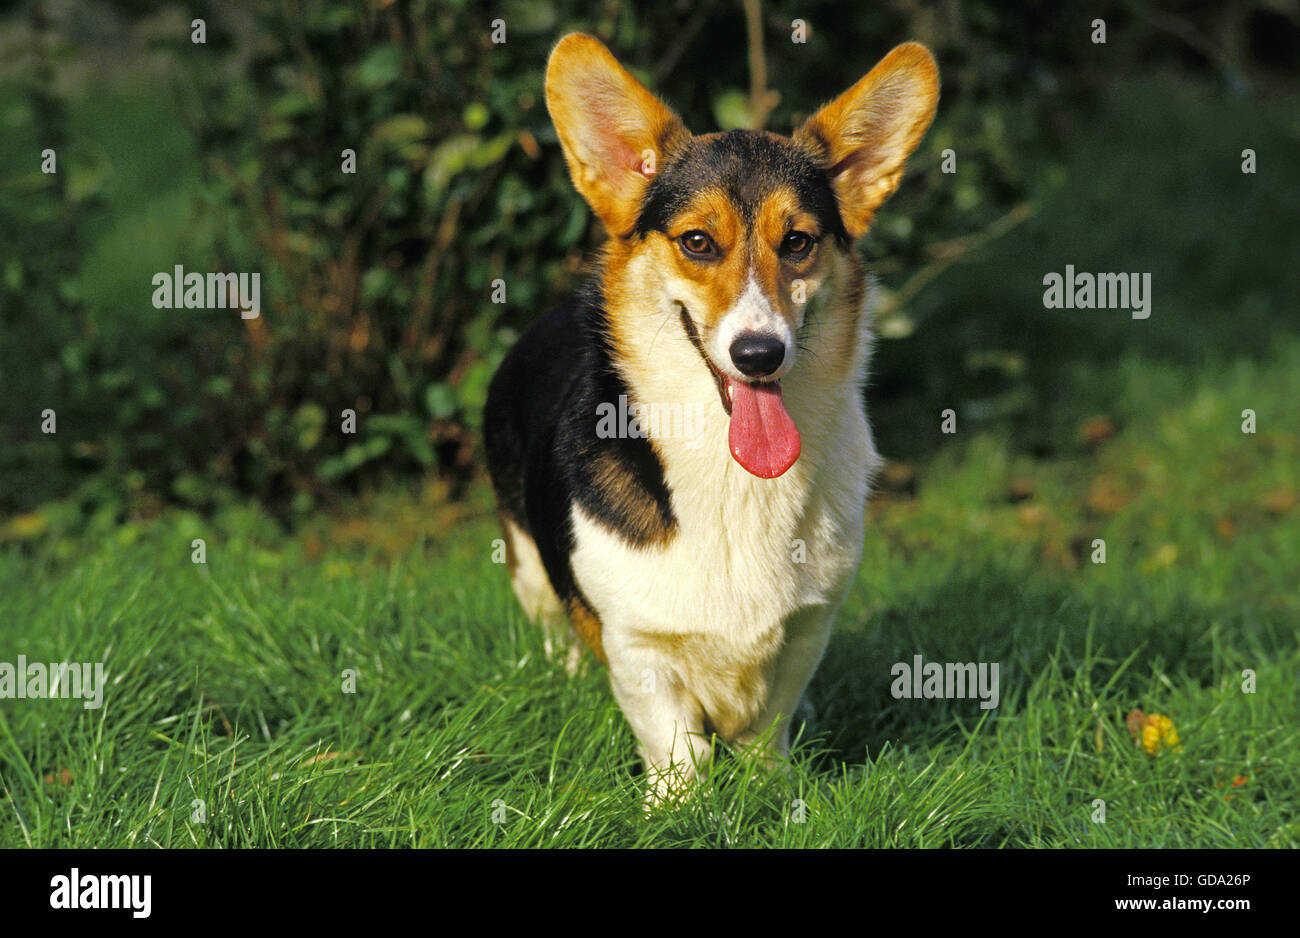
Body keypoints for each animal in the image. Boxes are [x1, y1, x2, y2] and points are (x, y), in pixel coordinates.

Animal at [483, 32, 941, 800]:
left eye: (798, 242)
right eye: (697, 242)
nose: (759, 354)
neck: (737, 480)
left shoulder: (807, 630)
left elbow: (766, 728)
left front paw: (769, 791)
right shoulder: (638, 647)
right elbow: (680, 751)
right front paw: (679, 808)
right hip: (527, 564)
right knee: (554, 631)